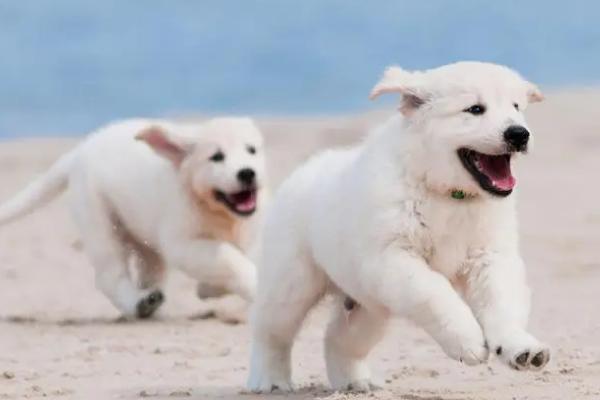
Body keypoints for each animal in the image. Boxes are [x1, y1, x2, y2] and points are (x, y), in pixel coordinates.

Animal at [0, 116, 268, 318]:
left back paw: (151, 300)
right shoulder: (183, 241)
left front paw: (208, 289)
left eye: (252, 150)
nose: (247, 173)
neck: (219, 212)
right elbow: (229, 258)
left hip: (142, 233)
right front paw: (250, 284)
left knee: (150, 267)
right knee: (110, 273)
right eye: (217, 157)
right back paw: (138, 304)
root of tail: (80, 150)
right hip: (98, 216)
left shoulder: (255, 229)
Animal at [250, 61, 552, 392]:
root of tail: (303, 171)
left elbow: (502, 300)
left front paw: (520, 347)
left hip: (368, 305)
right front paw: (468, 341)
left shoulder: (490, 256)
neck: (449, 195)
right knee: (271, 331)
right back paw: (269, 380)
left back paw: (355, 382)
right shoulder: (392, 257)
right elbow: (435, 293)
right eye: (475, 109)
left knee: (339, 338)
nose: (519, 134)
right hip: (292, 281)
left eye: (516, 107)